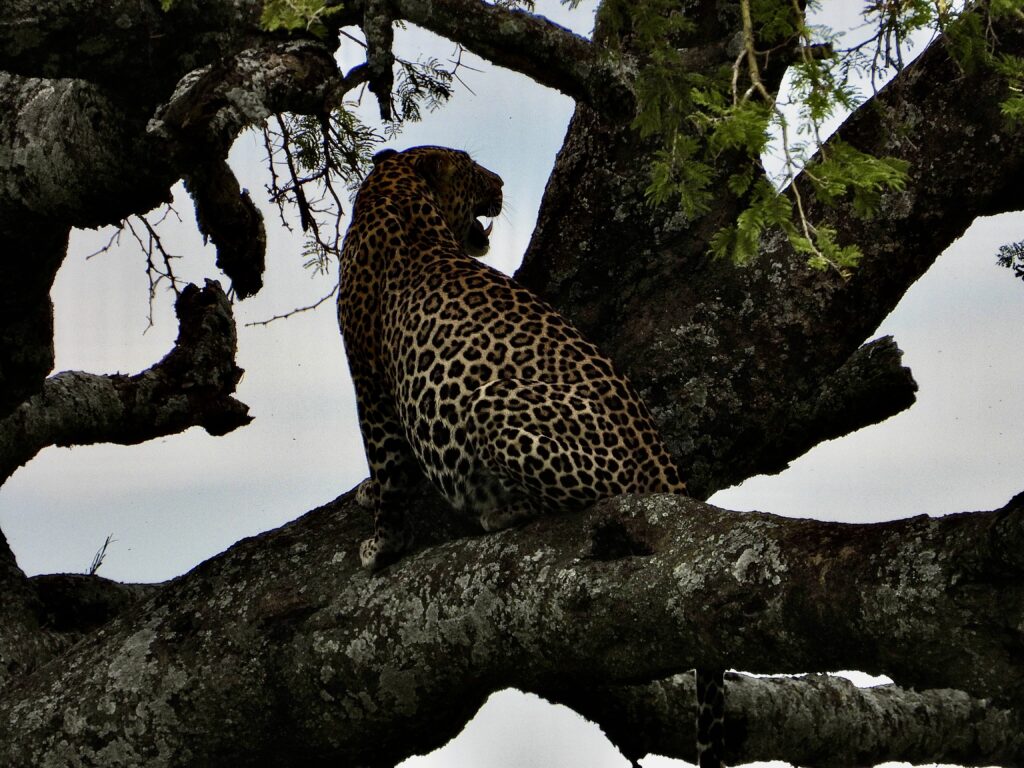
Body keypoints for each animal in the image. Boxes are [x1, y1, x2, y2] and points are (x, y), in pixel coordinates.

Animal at [339, 145, 724, 768]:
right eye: (472, 166)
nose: (499, 181)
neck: (394, 190)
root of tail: (661, 460)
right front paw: (368, 499)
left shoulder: (369, 378)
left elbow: (389, 468)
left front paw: (381, 544)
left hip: (493, 403)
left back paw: (501, 510)